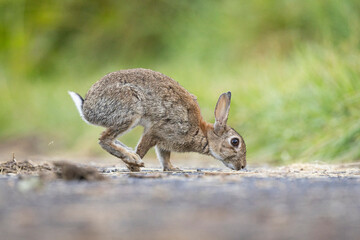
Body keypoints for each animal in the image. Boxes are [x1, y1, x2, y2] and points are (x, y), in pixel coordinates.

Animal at [68, 68, 246, 172]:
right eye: (235, 142)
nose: (243, 166)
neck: (203, 135)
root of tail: (87, 108)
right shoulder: (157, 132)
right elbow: (144, 147)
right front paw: (133, 167)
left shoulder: (163, 142)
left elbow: (164, 157)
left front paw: (173, 169)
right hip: (130, 110)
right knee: (104, 139)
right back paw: (132, 158)